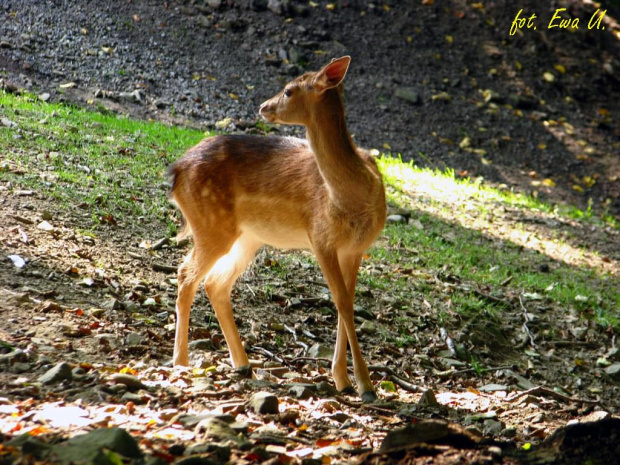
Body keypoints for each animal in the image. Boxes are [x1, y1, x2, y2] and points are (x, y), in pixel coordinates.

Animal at [167, 56, 386, 400]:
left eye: (288, 90)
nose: (262, 107)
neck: (352, 198)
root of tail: (174, 172)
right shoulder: (320, 237)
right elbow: (341, 300)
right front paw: (364, 385)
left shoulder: (355, 248)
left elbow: (347, 303)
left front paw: (344, 379)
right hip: (210, 225)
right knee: (186, 273)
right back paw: (182, 361)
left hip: (247, 236)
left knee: (216, 283)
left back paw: (243, 363)